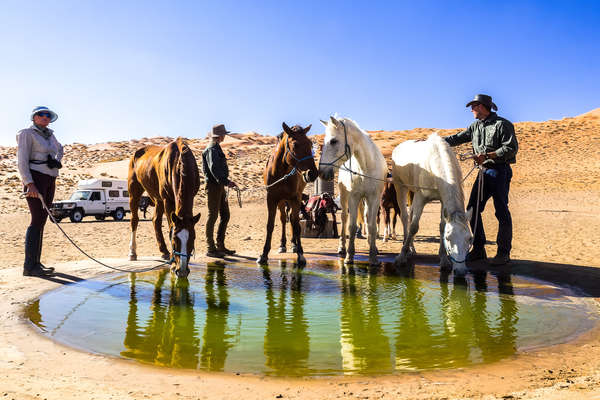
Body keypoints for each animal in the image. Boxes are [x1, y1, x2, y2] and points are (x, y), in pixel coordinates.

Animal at [126, 138, 202, 278]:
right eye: (174, 241)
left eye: (193, 239)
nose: (182, 271)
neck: (179, 160)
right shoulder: (167, 200)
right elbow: (171, 226)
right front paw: (173, 264)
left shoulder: (190, 197)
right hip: (135, 192)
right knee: (134, 220)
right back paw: (132, 252)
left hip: (158, 199)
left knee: (155, 220)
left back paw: (164, 251)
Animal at [258, 122, 322, 266]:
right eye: (295, 145)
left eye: (310, 143)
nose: (313, 173)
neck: (282, 172)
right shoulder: (272, 199)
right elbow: (270, 226)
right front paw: (264, 254)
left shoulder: (295, 198)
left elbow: (297, 225)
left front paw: (300, 254)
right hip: (282, 201)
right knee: (283, 219)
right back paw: (283, 244)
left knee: (293, 220)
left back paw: (294, 245)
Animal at [316, 115, 386, 266]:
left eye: (333, 141)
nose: (322, 172)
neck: (365, 167)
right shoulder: (354, 197)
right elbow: (352, 226)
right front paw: (349, 256)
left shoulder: (374, 198)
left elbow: (372, 226)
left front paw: (373, 256)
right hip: (344, 196)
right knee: (344, 219)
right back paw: (342, 247)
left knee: (366, 217)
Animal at [392, 131, 472, 276]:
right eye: (449, 238)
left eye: (469, 238)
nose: (461, 271)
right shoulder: (420, 197)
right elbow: (414, 227)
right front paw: (401, 257)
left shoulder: (442, 200)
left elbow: (442, 226)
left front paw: (444, 260)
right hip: (400, 186)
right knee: (405, 217)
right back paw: (406, 249)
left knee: (410, 214)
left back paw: (412, 248)